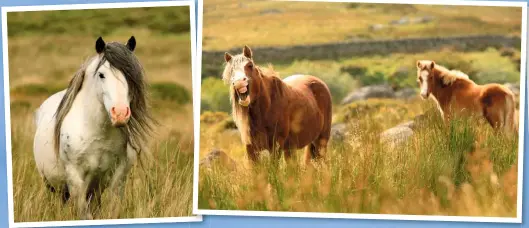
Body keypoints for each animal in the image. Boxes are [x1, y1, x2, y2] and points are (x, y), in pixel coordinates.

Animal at [32, 36, 153, 219]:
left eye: (129, 74)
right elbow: (84, 215)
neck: (99, 133)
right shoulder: (76, 180)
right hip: (53, 186)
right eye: (102, 75)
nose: (120, 114)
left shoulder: (118, 177)